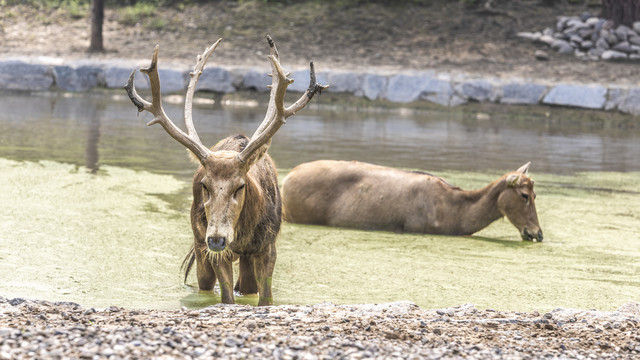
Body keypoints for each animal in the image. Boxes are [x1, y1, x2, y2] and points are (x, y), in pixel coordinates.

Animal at [124, 36, 328, 306]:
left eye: (240, 185)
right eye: (205, 185)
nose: (218, 238)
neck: (242, 234)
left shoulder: (268, 246)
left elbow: (266, 297)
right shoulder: (214, 250)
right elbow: (227, 297)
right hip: (199, 244)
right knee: (205, 283)